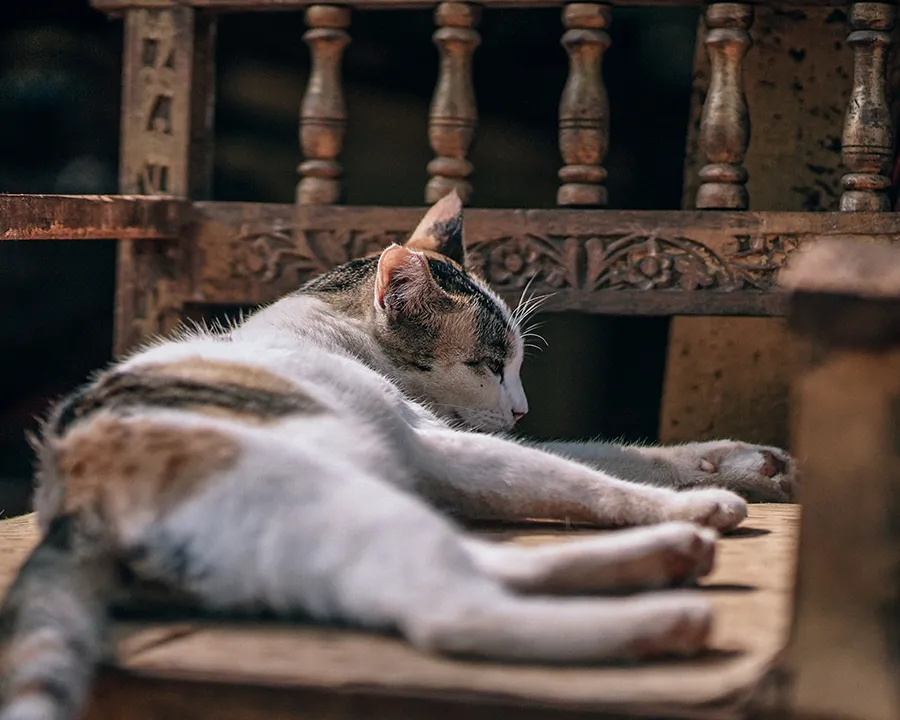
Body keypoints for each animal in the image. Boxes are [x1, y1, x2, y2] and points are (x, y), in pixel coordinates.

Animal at [0, 190, 792, 720]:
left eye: (515, 364)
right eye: (489, 364)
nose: (521, 409)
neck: (324, 330)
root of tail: (72, 507)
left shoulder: (461, 453)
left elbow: (601, 455)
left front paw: (742, 463)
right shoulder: (438, 444)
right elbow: (580, 476)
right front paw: (704, 500)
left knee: (485, 566)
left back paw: (670, 559)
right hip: (333, 501)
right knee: (451, 610)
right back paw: (669, 611)